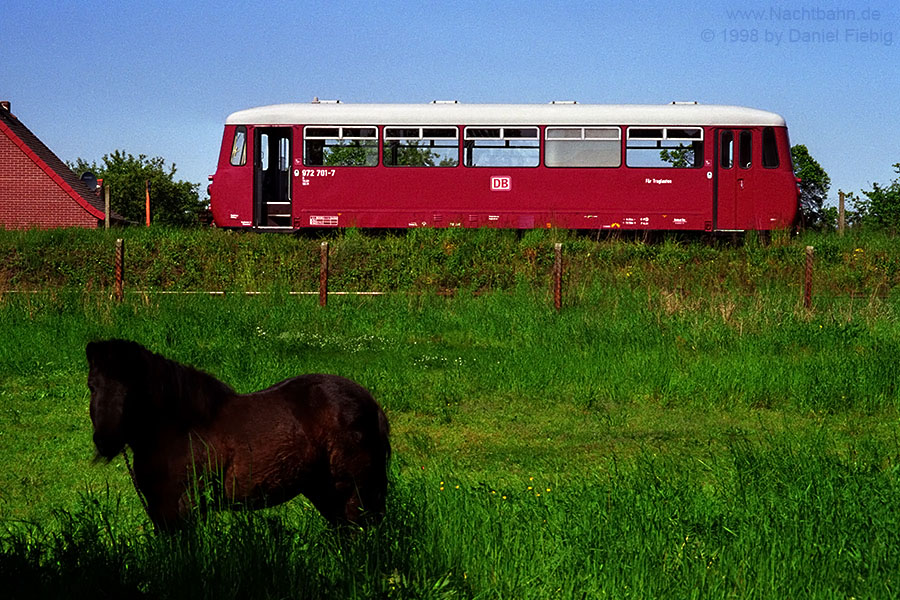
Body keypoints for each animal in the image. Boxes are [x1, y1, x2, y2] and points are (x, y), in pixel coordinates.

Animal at [85, 340, 390, 528]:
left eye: (132, 389)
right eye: (92, 385)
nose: (105, 440)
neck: (180, 429)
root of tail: (370, 402)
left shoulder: (184, 508)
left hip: (353, 492)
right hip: (324, 490)